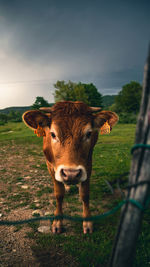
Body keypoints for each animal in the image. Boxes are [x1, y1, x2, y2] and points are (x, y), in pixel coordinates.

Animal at [22, 101, 118, 233]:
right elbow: (59, 194)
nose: (71, 173)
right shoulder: (50, 166)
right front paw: (58, 222)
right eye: (53, 134)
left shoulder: (88, 164)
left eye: (89, 133)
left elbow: (85, 194)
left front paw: (87, 222)